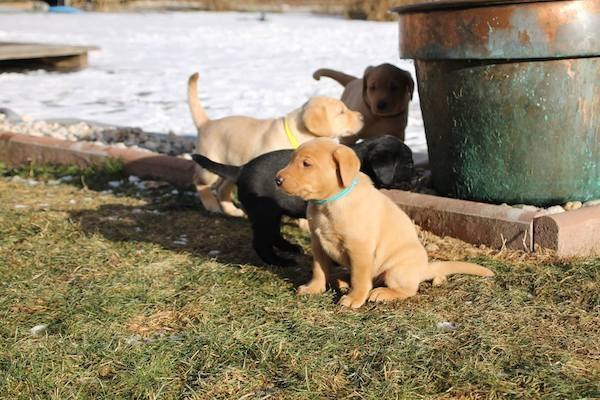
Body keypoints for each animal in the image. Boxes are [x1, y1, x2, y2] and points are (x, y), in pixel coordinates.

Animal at [187, 72, 364, 217]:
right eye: (341, 112)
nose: (362, 116)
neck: (297, 133)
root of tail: (206, 123)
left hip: (232, 167)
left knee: (223, 189)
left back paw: (232, 210)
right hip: (209, 167)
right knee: (199, 182)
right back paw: (211, 205)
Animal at [192, 135, 415, 266]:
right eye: (408, 164)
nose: (419, 178)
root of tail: (241, 169)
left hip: (272, 213)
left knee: (273, 235)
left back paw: (291, 248)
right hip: (263, 213)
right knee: (261, 242)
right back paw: (279, 262)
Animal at [275, 138, 494, 308]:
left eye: (306, 164)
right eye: (292, 160)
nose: (277, 179)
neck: (329, 204)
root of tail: (424, 269)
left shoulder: (360, 248)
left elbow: (360, 278)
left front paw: (355, 298)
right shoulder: (317, 242)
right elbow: (319, 269)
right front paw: (314, 288)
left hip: (396, 269)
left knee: (407, 289)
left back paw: (381, 293)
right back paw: (342, 280)